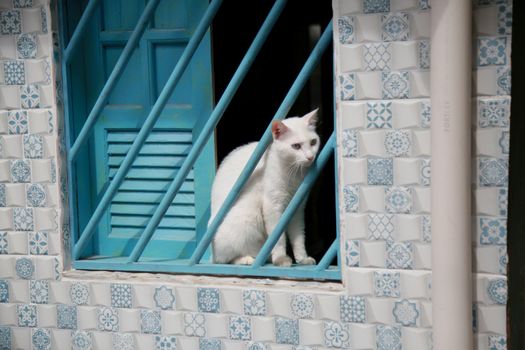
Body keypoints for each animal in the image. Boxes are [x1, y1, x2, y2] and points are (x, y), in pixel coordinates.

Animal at [210, 109, 320, 266]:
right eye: (296, 146)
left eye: (313, 142)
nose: (310, 157)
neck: (293, 173)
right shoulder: (272, 207)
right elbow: (277, 238)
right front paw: (281, 258)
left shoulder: (297, 209)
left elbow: (298, 237)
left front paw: (302, 258)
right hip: (244, 220)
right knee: (225, 259)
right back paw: (247, 259)